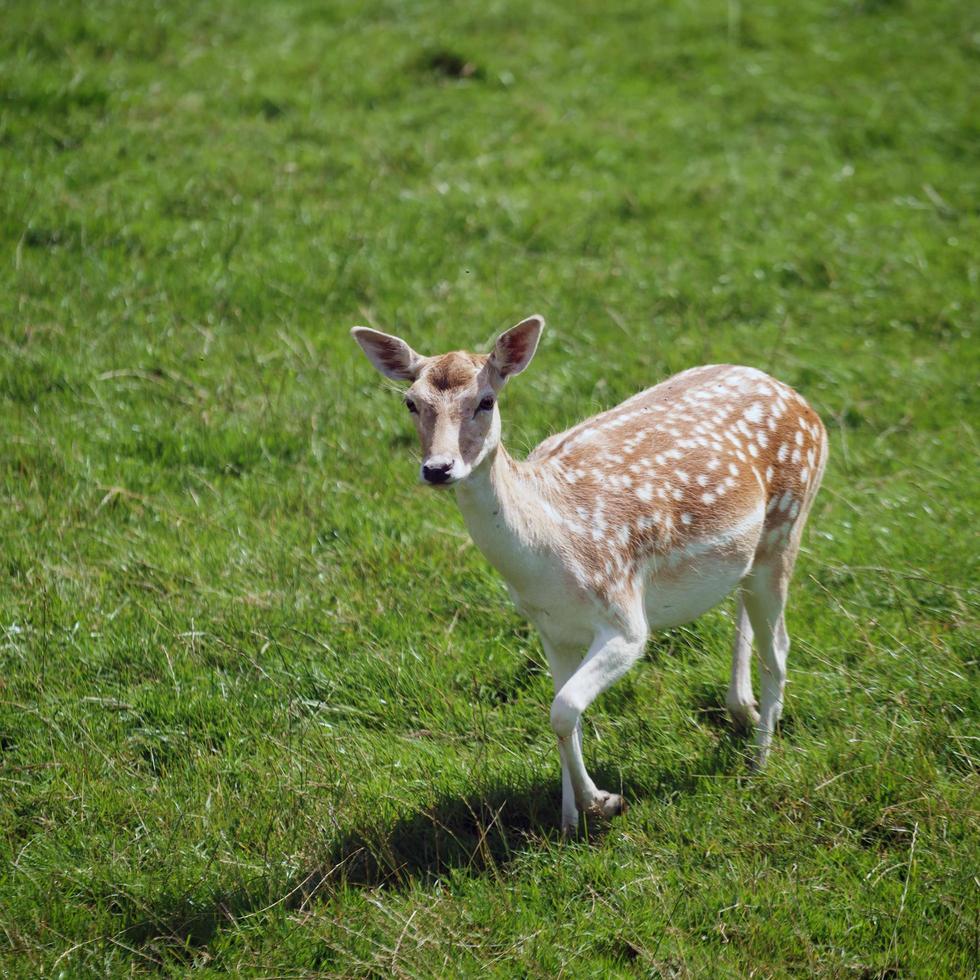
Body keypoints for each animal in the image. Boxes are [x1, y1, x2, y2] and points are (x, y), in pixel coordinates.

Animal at [352, 316, 828, 836]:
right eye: (411, 402)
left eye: (486, 400)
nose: (438, 468)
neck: (550, 554)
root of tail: (805, 404)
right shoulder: (551, 628)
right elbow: (565, 712)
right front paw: (568, 822)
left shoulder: (624, 617)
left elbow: (563, 709)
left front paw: (604, 802)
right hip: (755, 550)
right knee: (748, 608)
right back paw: (741, 710)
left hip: (788, 526)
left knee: (778, 646)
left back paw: (759, 763)